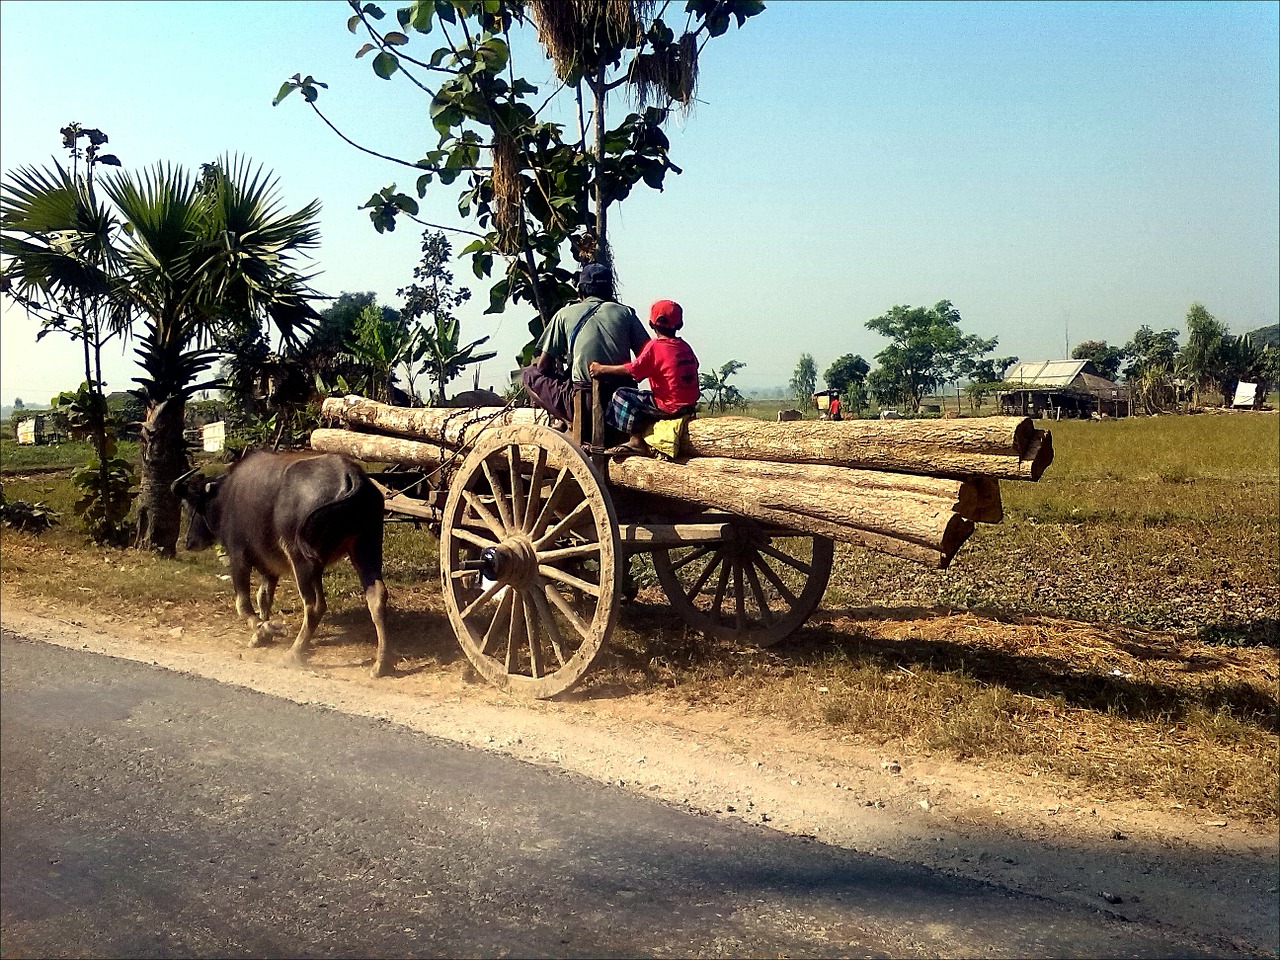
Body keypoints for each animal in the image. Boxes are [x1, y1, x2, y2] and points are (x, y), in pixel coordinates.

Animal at [172, 450, 389, 675]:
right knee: (376, 596)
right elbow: (263, 598)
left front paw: (267, 629)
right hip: (364, 548)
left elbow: (243, 604)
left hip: (302, 558)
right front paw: (261, 634)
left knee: (314, 605)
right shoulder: (269, 567)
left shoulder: (238, 556)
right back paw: (381, 663)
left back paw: (293, 654)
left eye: (187, 505)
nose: (189, 542)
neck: (225, 497)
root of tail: (350, 476)